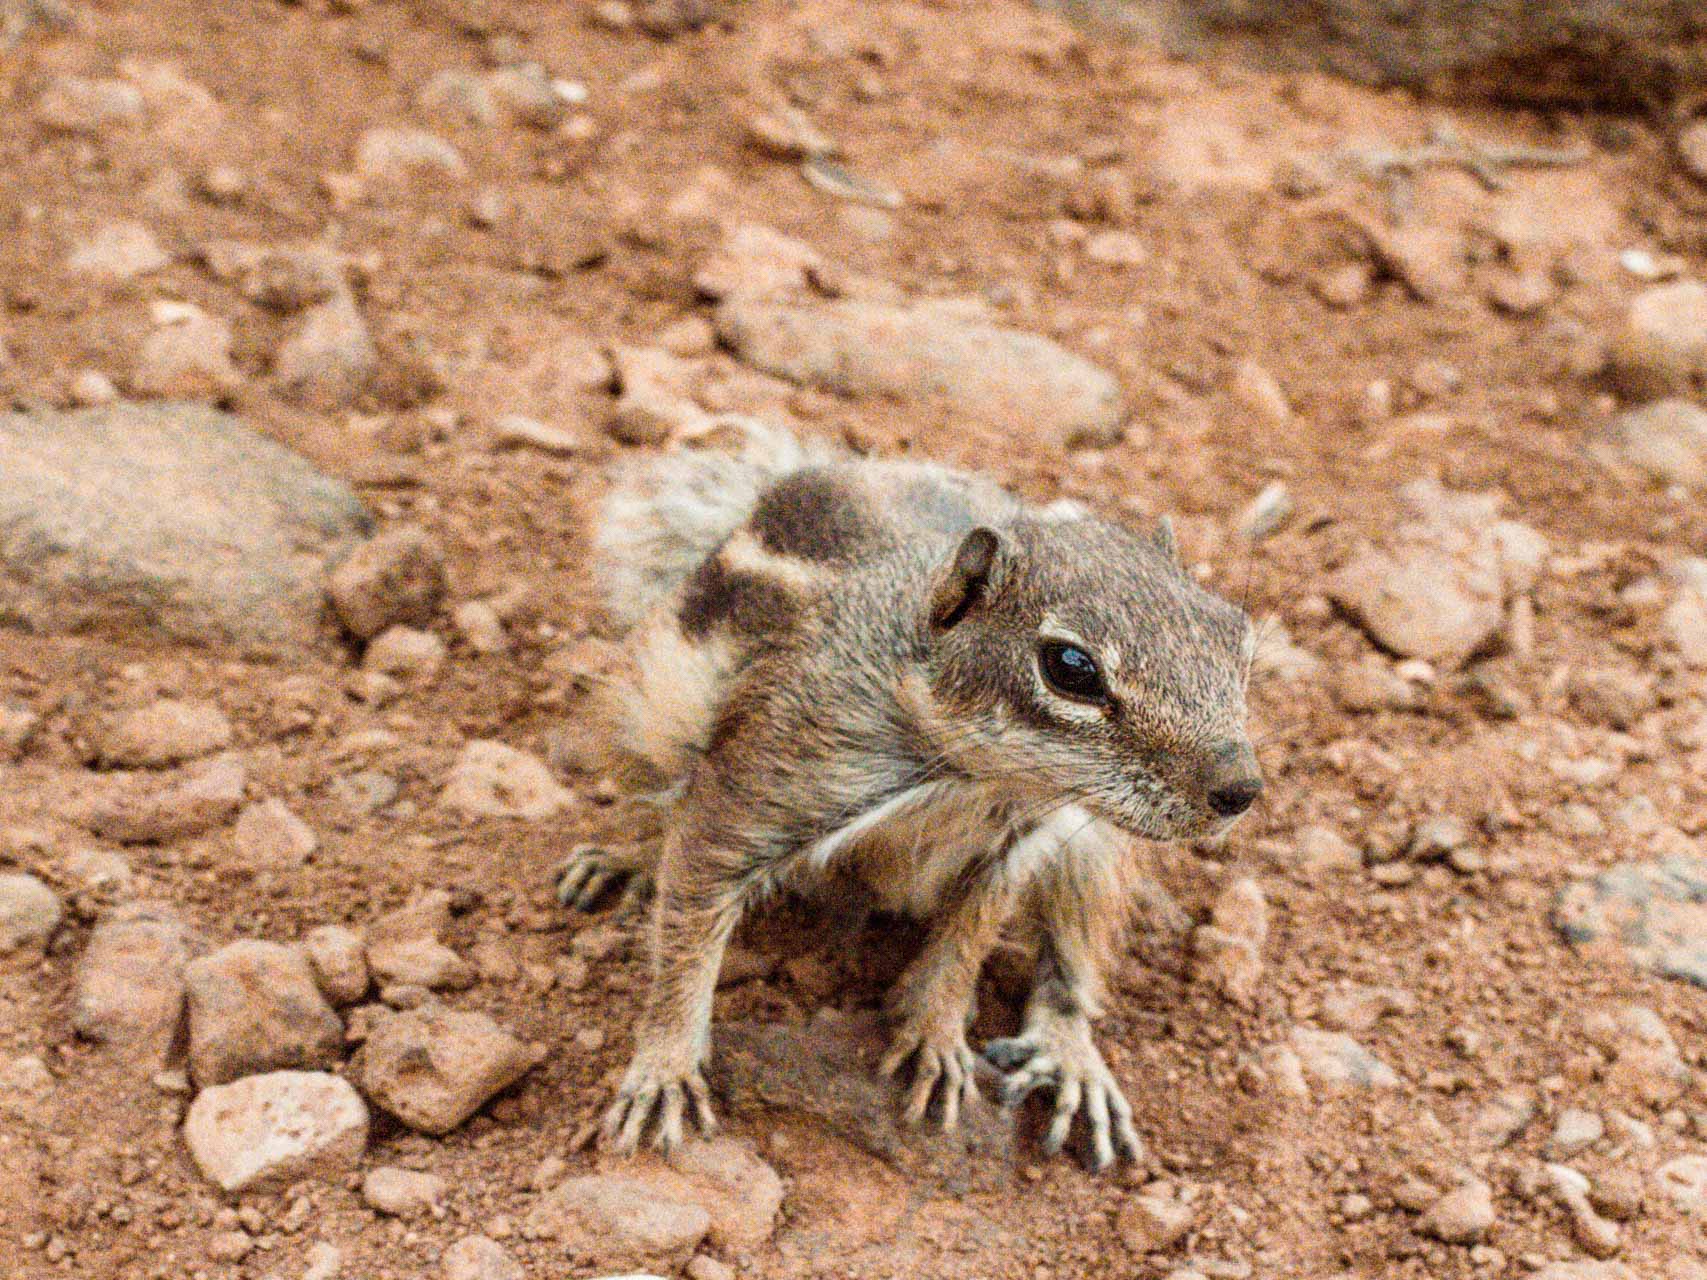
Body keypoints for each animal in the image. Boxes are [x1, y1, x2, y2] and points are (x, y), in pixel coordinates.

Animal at [556, 421, 1256, 1174]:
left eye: (1235, 633)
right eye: (1070, 667)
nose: (1241, 788)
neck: (975, 776)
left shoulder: (1018, 841)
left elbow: (968, 941)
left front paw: (937, 1036)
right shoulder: (762, 784)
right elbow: (686, 927)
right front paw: (664, 1068)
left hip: (1092, 848)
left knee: (1073, 955)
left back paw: (1071, 1058)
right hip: (656, 709)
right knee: (650, 794)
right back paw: (621, 857)